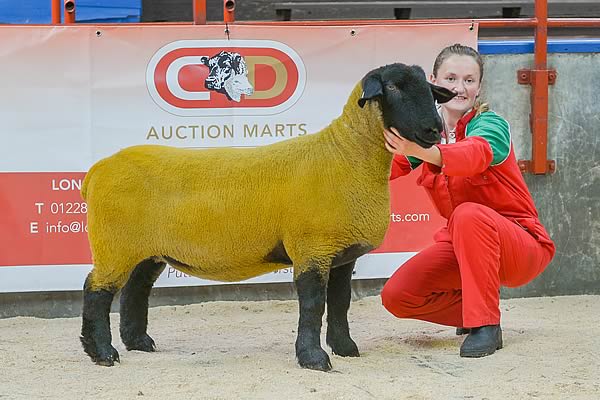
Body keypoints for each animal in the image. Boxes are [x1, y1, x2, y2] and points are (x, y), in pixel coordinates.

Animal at [81, 62, 454, 372]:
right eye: (393, 87)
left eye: (429, 88)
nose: (434, 131)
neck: (345, 156)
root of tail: (98, 169)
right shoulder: (312, 249)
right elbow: (314, 305)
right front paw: (314, 358)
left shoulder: (342, 255)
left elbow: (340, 303)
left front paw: (345, 348)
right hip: (114, 244)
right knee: (96, 290)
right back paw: (102, 353)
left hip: (147, 249)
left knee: (136, 288)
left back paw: (138, 343)